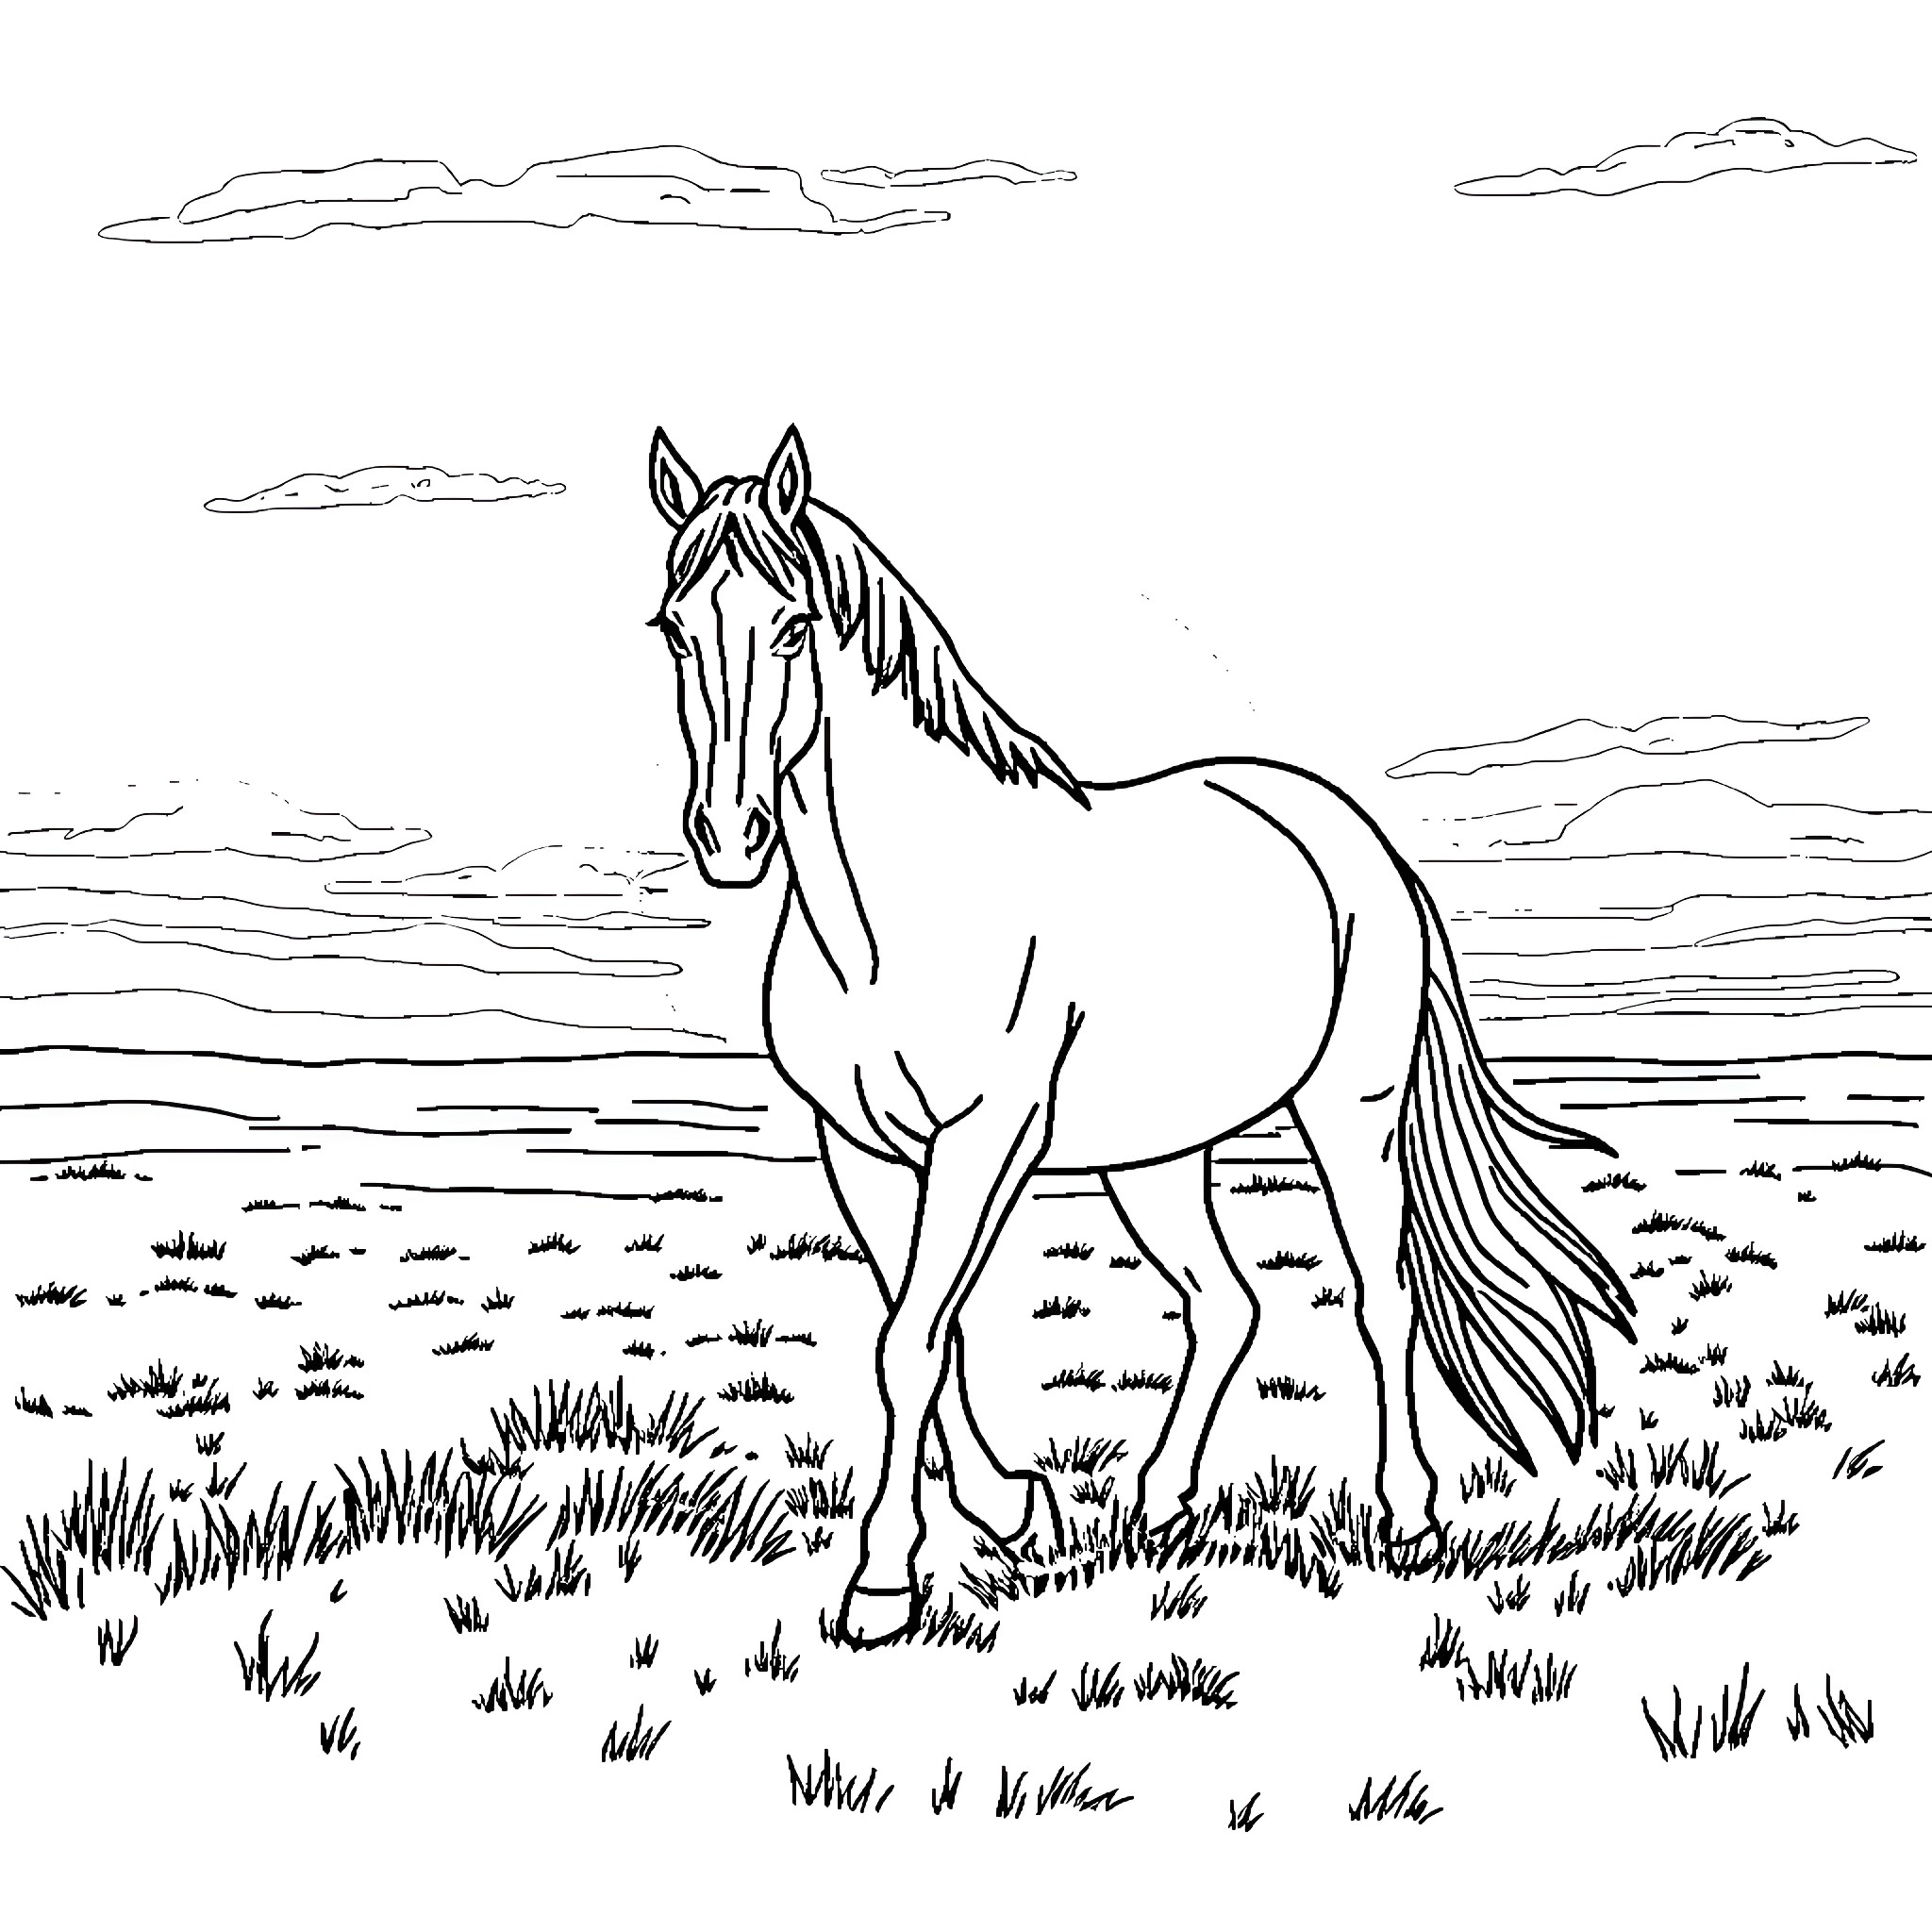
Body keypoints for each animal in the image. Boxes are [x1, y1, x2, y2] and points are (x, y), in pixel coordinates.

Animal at [645, 425, 1636, 1646]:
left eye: (788, 626)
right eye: (674, 628)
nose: (725, 836)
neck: (888, 920)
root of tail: (1360, 841)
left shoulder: (985, 1138)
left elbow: (910, 1340)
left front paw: (881, 1584)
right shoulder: (862, 1147)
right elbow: (923, 1329)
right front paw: (1012, 1510)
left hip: (1346, 1112)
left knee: (1379, 1296)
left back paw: (1404, 1512)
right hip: (1157, 1154)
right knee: (1226, 1302)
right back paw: (1161, 1501)